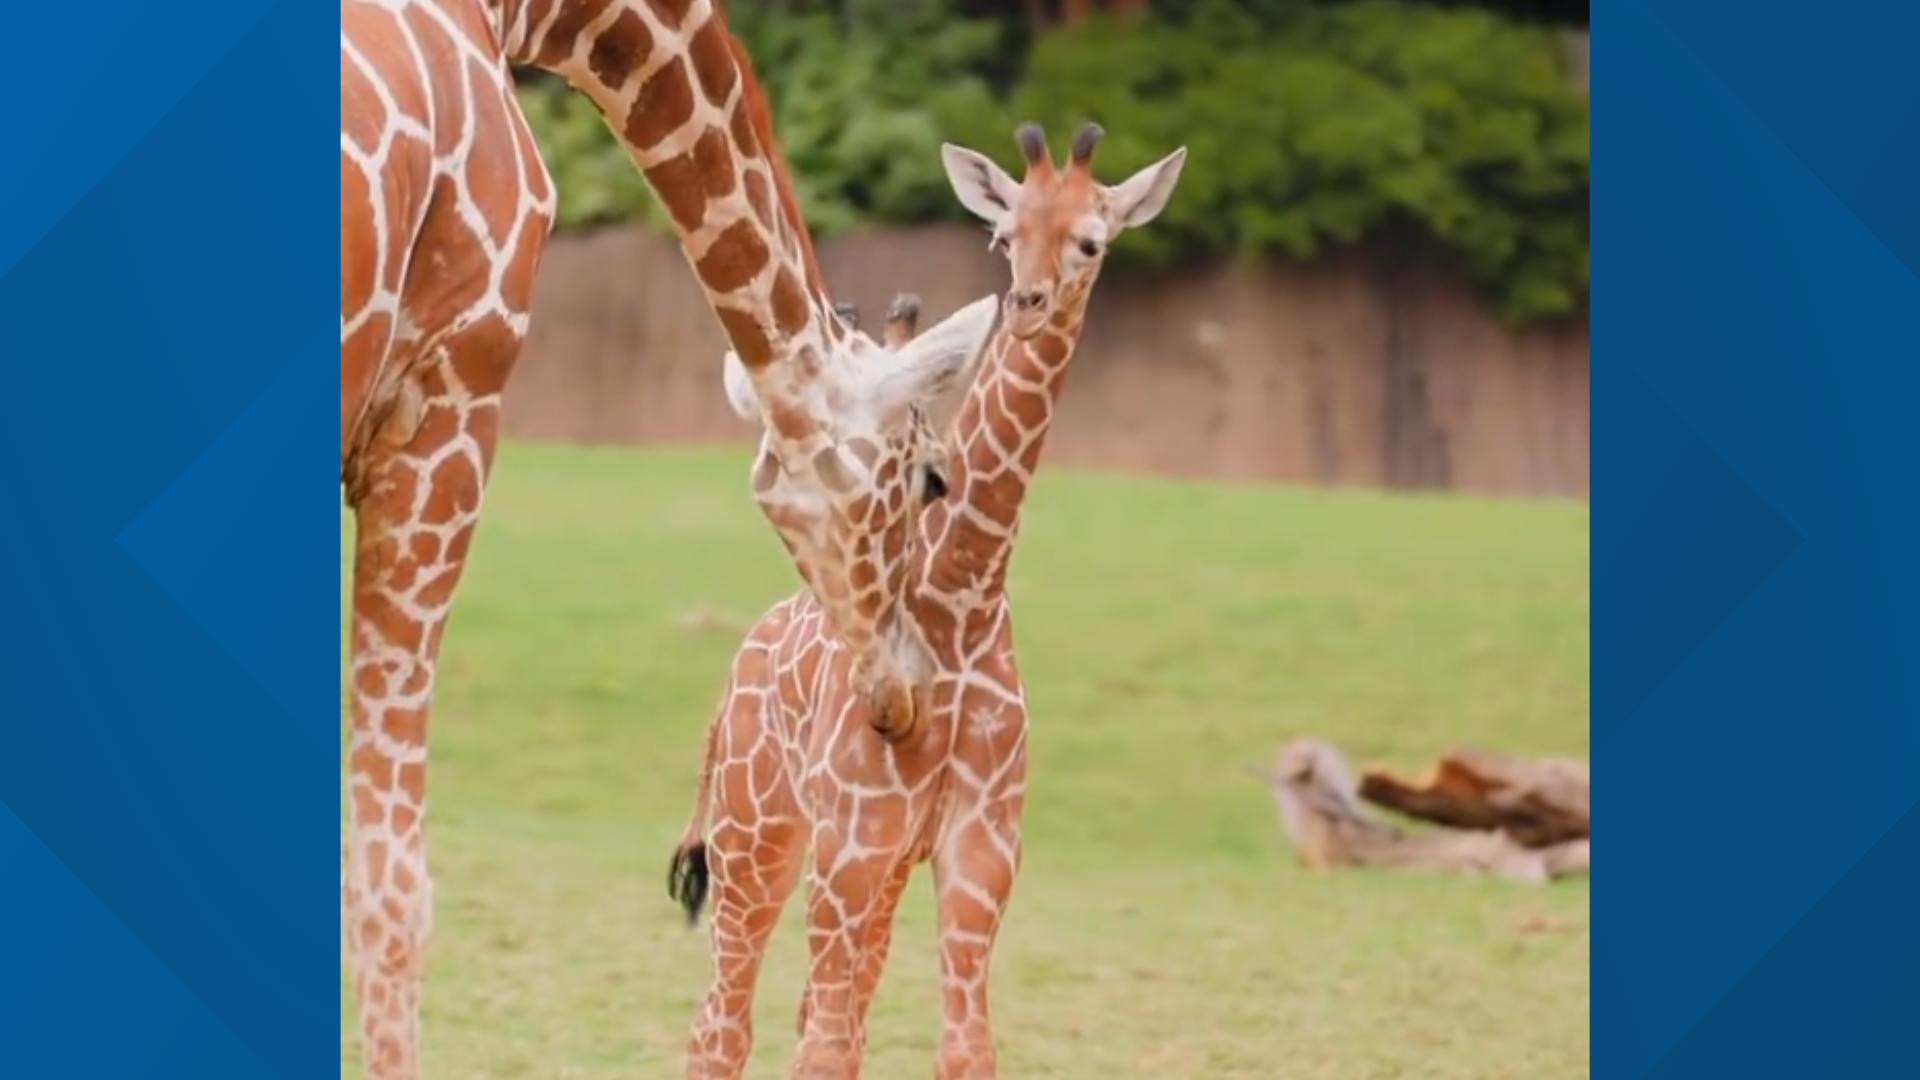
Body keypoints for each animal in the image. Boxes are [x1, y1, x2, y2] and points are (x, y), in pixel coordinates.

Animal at [665, 123, 1186, 1080]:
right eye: (1003, 234)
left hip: (870, 871)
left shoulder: (979, 853)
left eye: (1092, 241)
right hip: (758, 839)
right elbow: (823, 1046)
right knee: (725, 1019)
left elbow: (960, 1047)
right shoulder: (850, 850)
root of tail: (739, 660)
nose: (1029, 301)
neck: (963, 597)